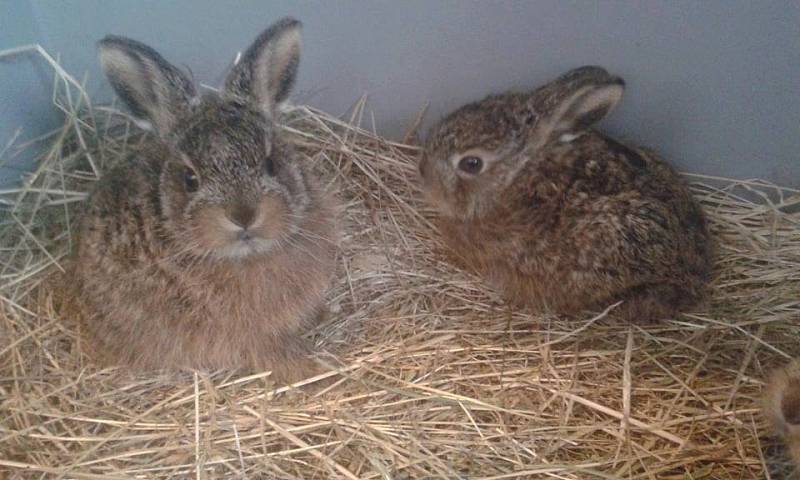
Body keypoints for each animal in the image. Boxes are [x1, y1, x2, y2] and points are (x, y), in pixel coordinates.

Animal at [69, 18, 340, 384]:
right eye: (190, 179)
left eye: (271, 163)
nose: (243, 214)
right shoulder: (249, 337)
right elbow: (275, 355)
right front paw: (316, 369)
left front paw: (325, 313)